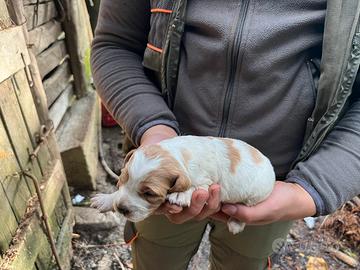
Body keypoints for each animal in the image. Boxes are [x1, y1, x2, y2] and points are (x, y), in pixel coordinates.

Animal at [90, 136, 276, 233]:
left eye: (149, 194)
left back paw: (235, 223)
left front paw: (181, 194)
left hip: (254, 196)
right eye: (122, 180)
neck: (177, 154)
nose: (121, 209)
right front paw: (106, 199)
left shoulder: (206, 180)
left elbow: (195, 186)